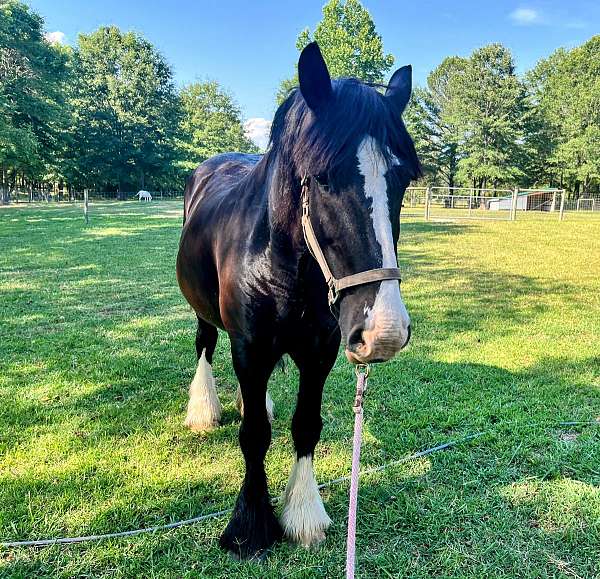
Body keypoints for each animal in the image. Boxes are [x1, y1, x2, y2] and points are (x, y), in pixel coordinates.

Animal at [178, 43, 420, 560]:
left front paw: (304, 513)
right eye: (323, 178)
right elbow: (254, 436)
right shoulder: (250, 348)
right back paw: (204, 409)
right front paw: (249, 525)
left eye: (404, 179)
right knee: (205, 344)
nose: (384, 331)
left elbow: (305, 424)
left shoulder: (319, 353)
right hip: (204, 314)